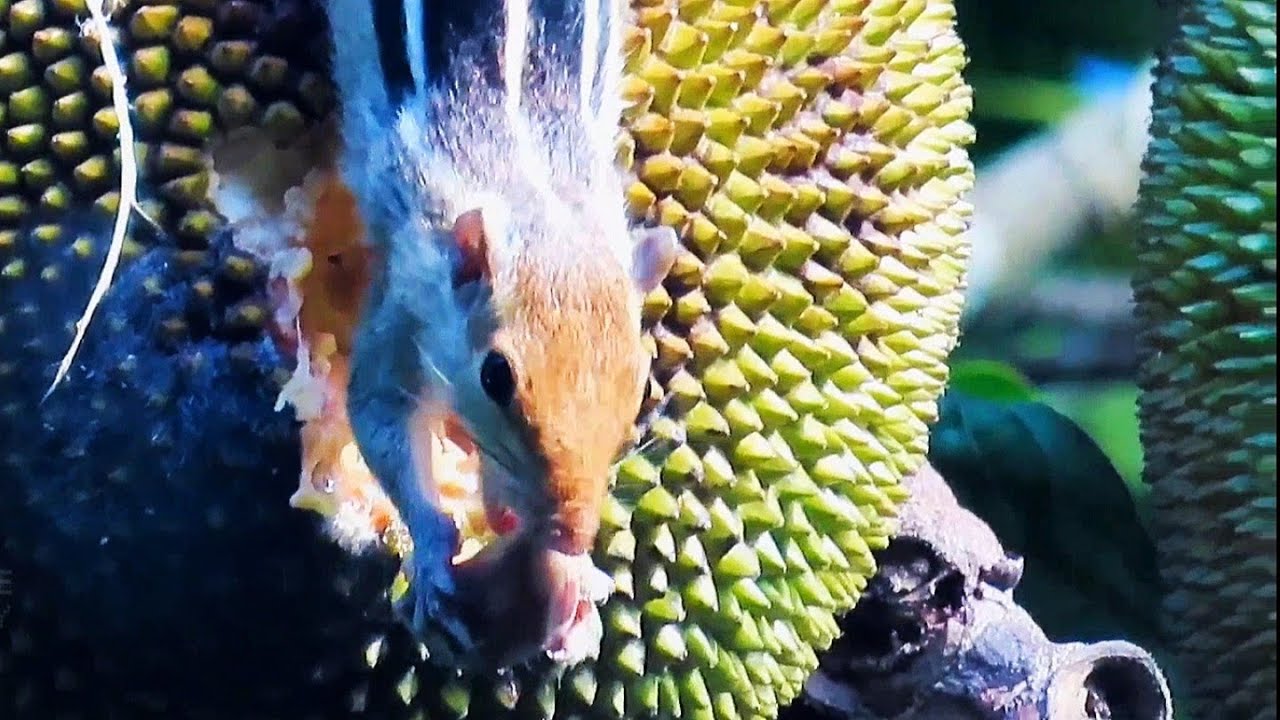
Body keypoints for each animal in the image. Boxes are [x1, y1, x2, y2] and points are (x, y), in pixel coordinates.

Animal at [321, 0, 678, 669]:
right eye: (494, 375)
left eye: (641, 385)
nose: (571, 532)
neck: (532, 180)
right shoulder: (402, 305)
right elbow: (378, 417)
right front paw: (432, 559)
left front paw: (578, 580)